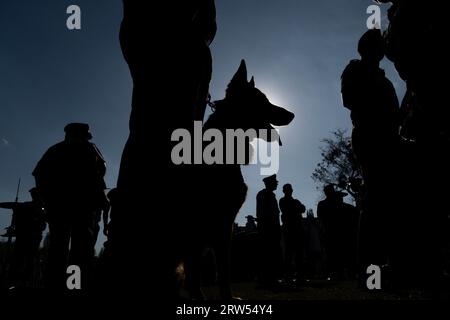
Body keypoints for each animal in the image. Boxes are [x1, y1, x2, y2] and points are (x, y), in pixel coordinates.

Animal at [181, 60, 294, 300]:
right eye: (262, 100)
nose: (292, 115)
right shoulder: (221, 221)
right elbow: (222, 268)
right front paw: (223, 298)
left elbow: (214, 268)